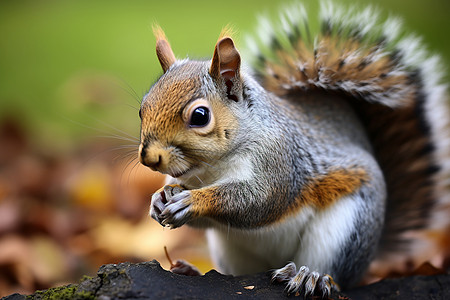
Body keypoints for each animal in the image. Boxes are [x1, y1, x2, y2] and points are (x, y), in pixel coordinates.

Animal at [138, 1, 450, 298]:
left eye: (200, 116)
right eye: (142, 108)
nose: (149, 157)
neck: (213, 168)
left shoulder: (280, 158)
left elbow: (259, 200)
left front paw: (193, 201)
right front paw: (160, 197)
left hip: (346, 230)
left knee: (337, 278)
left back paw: (312, 277)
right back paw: (190, 270)